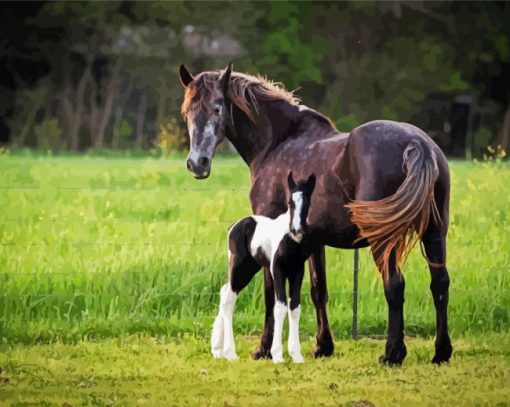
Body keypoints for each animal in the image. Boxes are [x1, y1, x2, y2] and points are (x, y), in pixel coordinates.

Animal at [211, 172, 314, 364]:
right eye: (290, 203)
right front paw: (278, 355)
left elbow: (295, 307)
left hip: (249, 268)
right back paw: (230, 353)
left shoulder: (297, 272)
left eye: (307, 203)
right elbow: (280, 306)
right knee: (229, 296)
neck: (289, 240)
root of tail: (233, 227)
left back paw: (217, 349)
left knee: (224, 290)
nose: (297, 230)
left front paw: (296, 355)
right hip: (240, 267)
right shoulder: (277, 270)